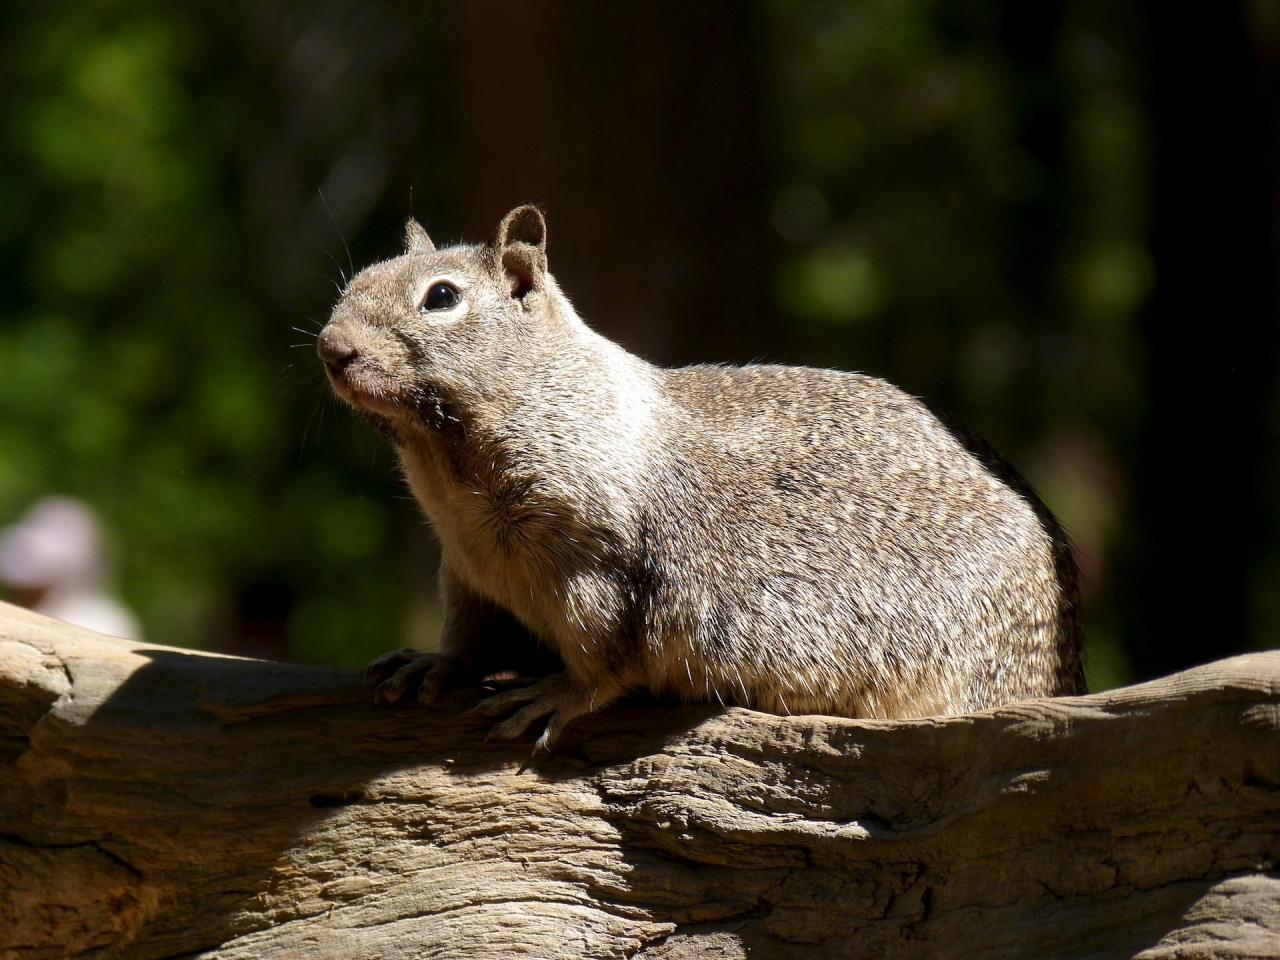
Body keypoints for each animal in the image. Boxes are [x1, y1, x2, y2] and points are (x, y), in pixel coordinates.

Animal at [317, 207, 1080, 757]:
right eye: (356, 281)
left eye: (442, 297)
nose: (331, 348)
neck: (448, 468)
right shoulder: (466, 568)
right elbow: (468, 632)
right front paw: (433, 663)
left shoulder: (597, 569)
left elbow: (605, 659)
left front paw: (555, 694)